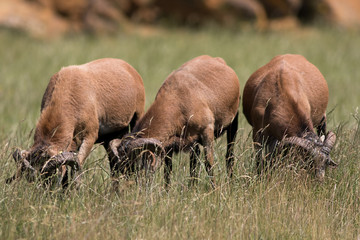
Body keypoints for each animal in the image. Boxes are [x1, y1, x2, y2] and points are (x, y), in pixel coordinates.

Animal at [109, 55, 239, 188]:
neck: (177, 101)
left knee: (229, 155)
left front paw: (215, 189)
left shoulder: (207, 131)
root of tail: (216, 59)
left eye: (133, 167)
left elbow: (209, 163)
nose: (131, 189)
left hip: (233, 122)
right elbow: (168, 170)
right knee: (194, 164)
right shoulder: (169, 145)